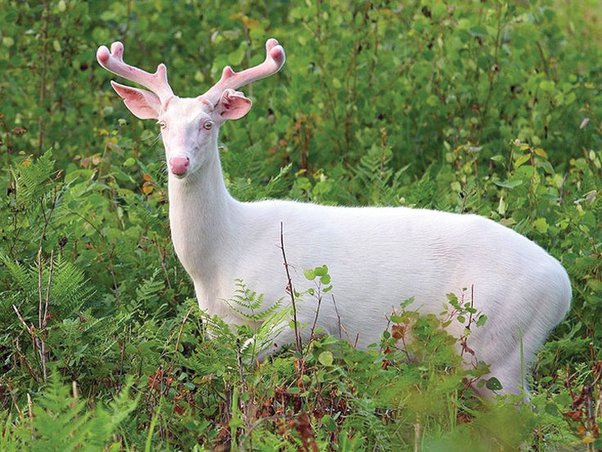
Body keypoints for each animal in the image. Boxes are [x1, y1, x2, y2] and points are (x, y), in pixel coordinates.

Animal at [96, 38, 568, 394]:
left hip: (497, 346)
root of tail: (563, 290)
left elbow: (245, 363)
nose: (179, 163)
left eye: (209, 123)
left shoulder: (301, 310)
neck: (221, 259)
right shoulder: (216, 325)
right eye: (161, 125)